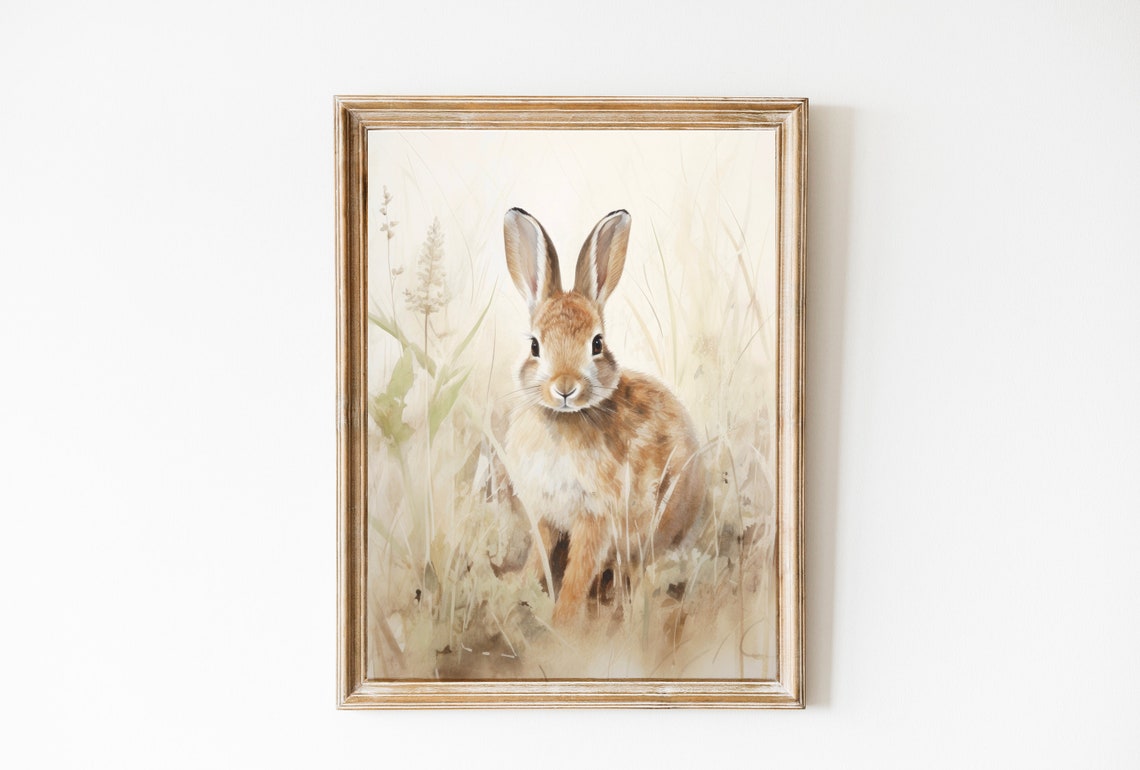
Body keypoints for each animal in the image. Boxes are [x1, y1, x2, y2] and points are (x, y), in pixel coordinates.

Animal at [501, 208, 705, 627]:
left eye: (597, 344)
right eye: (535, 346)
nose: (565, 387)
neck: (563, 420)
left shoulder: (595, 517)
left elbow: (579, 571)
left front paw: (563, 622)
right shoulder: (544, 514)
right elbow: (538, 556)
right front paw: (516, 589)